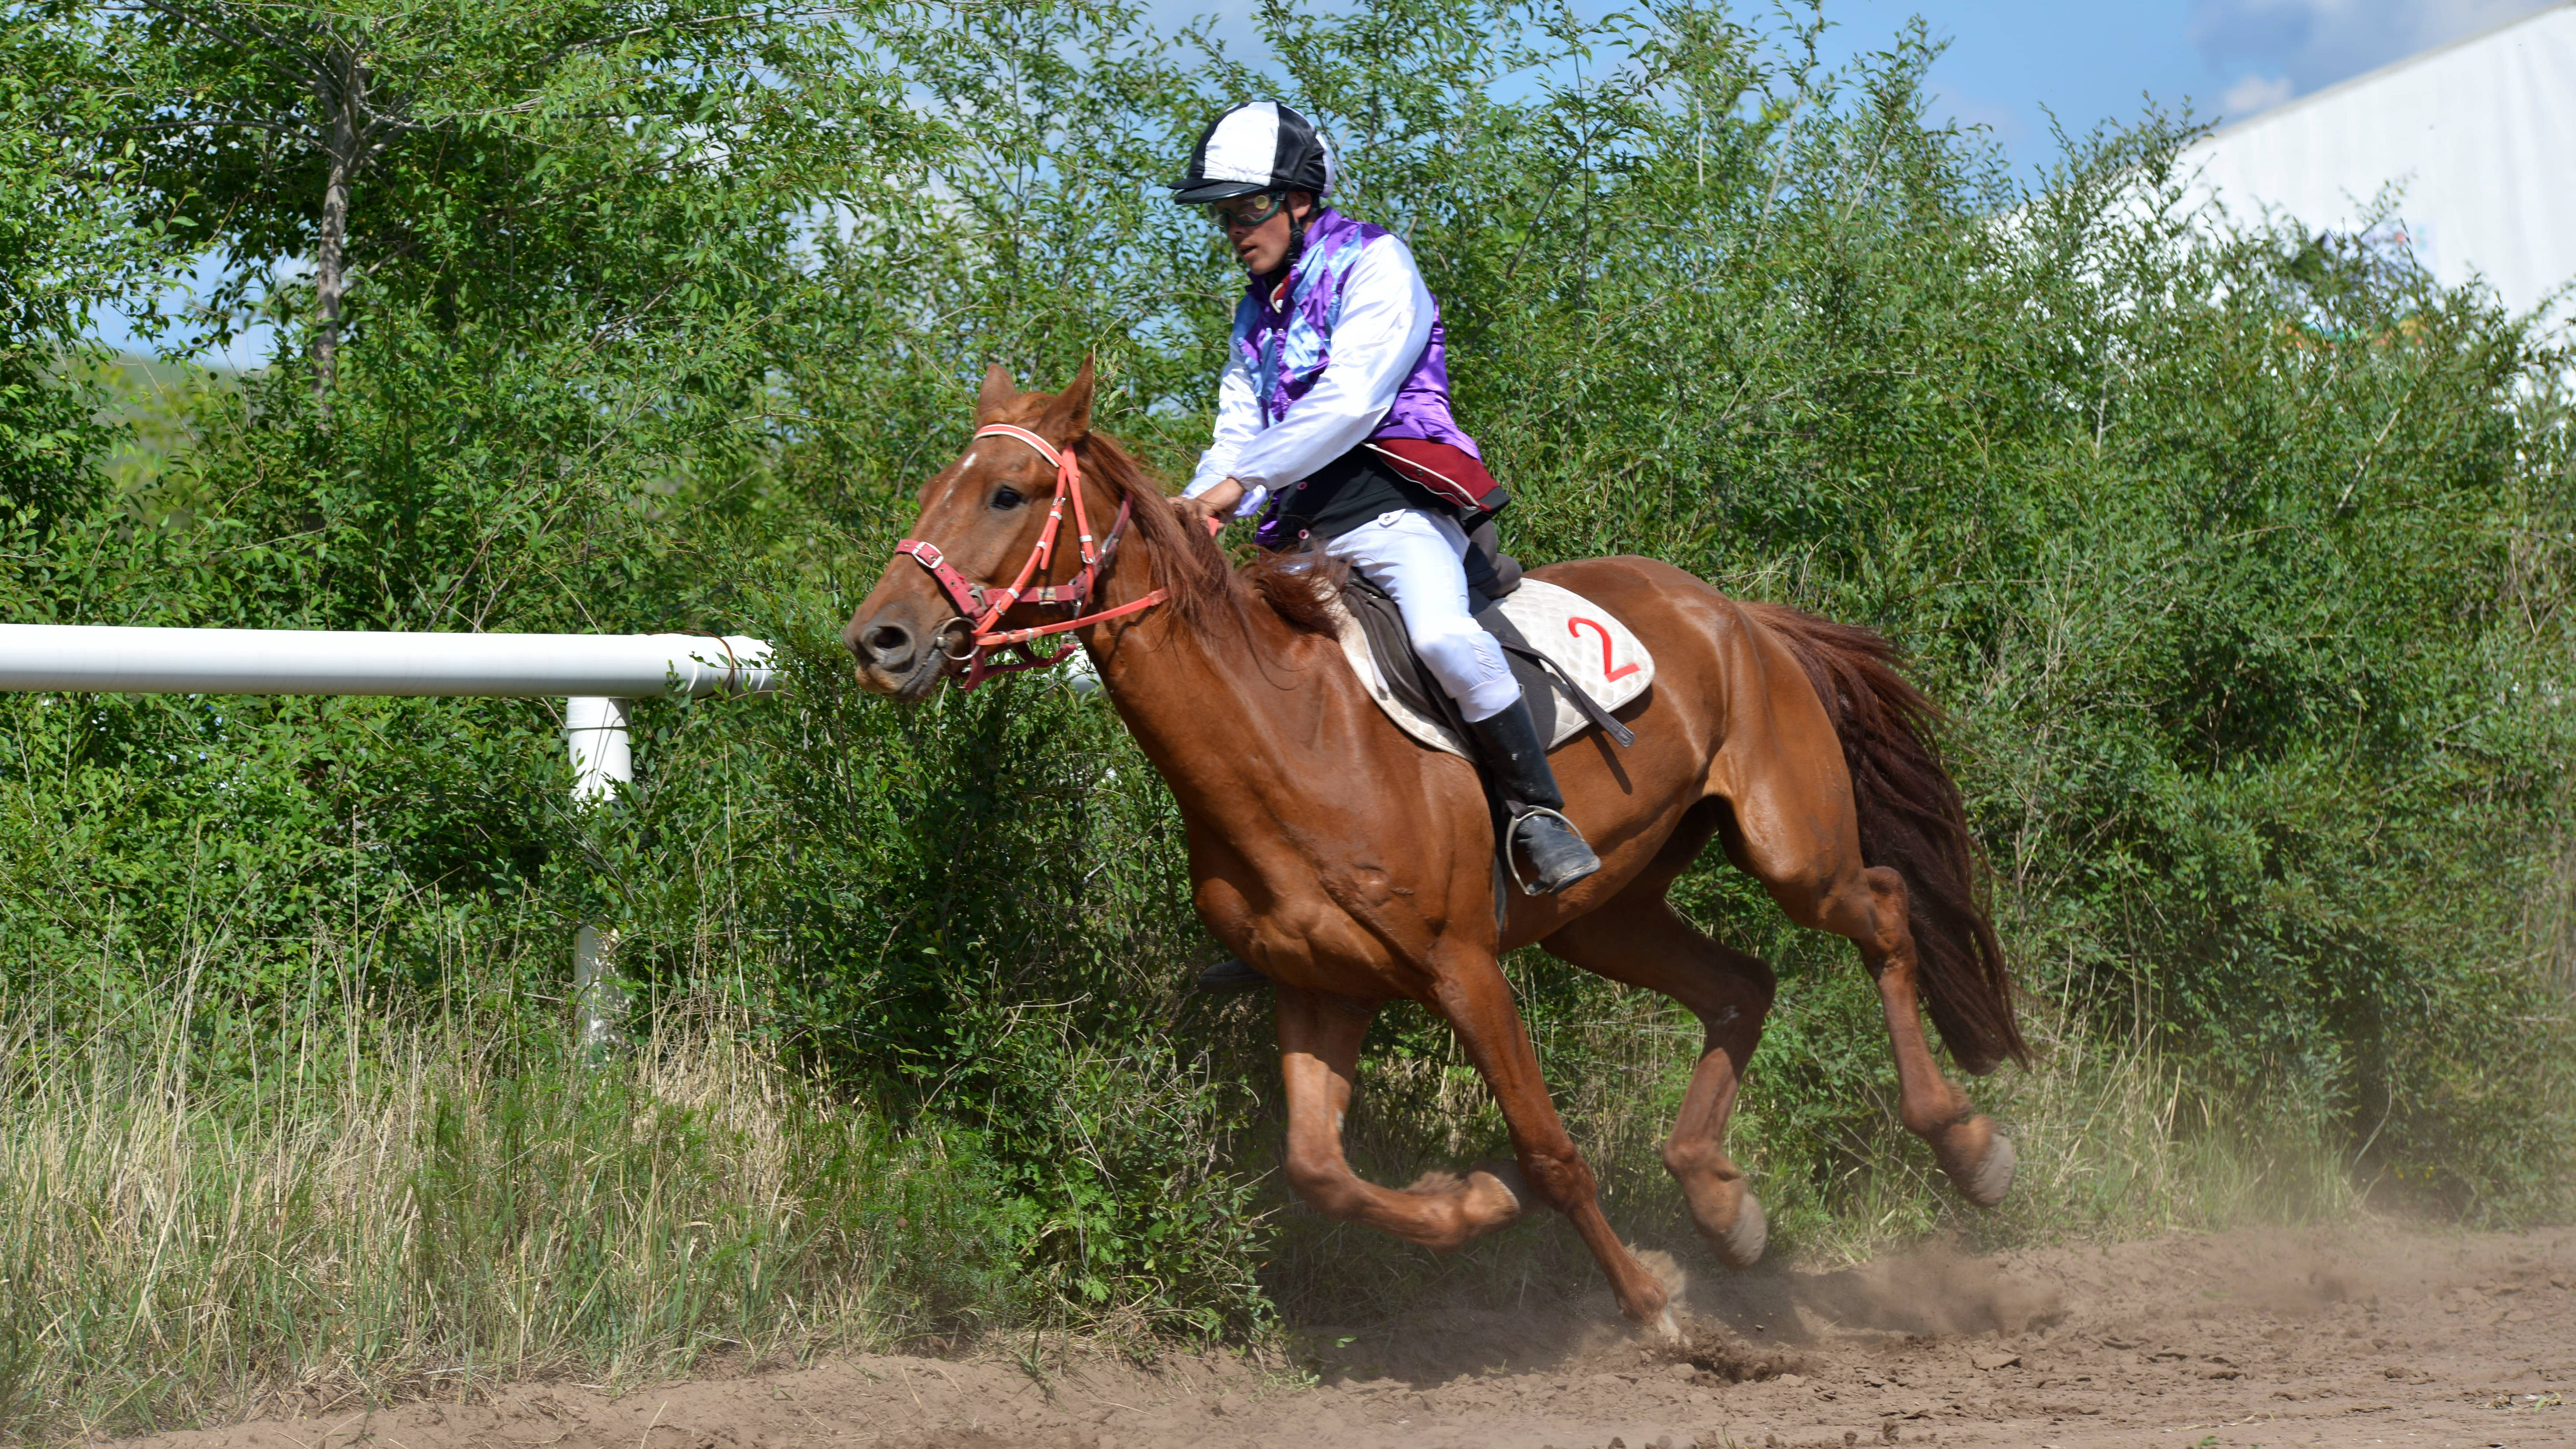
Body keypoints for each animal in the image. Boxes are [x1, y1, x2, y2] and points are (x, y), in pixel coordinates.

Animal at [850, 365, 2029, 1338]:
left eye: (1007, 494)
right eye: (935, 489)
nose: (880, 640)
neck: (1289, 739)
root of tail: (1740, 613)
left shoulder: (1462, 970)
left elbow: (1551, 1152)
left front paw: (1650, 1304)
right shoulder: (1321, 989)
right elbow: (1319, 1170)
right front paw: (1474, 1197)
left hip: (1793, 853)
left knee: (1882, 910)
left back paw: (1966, 1149)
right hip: (1608, 913)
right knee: (1741, 983)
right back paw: (1720, 1197)